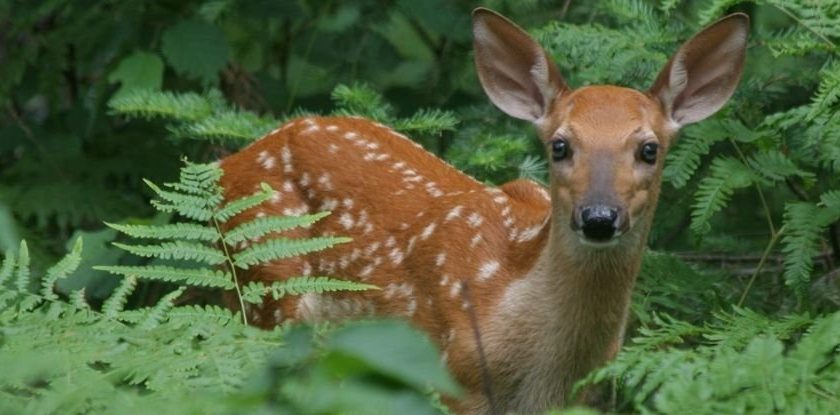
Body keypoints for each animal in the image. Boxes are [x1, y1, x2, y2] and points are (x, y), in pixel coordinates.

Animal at [217, 7, 748, 415]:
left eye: (649, 149)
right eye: (560, 145)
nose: (599, 217)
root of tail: (230, 162)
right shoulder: (456, 378)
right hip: (268, 296)